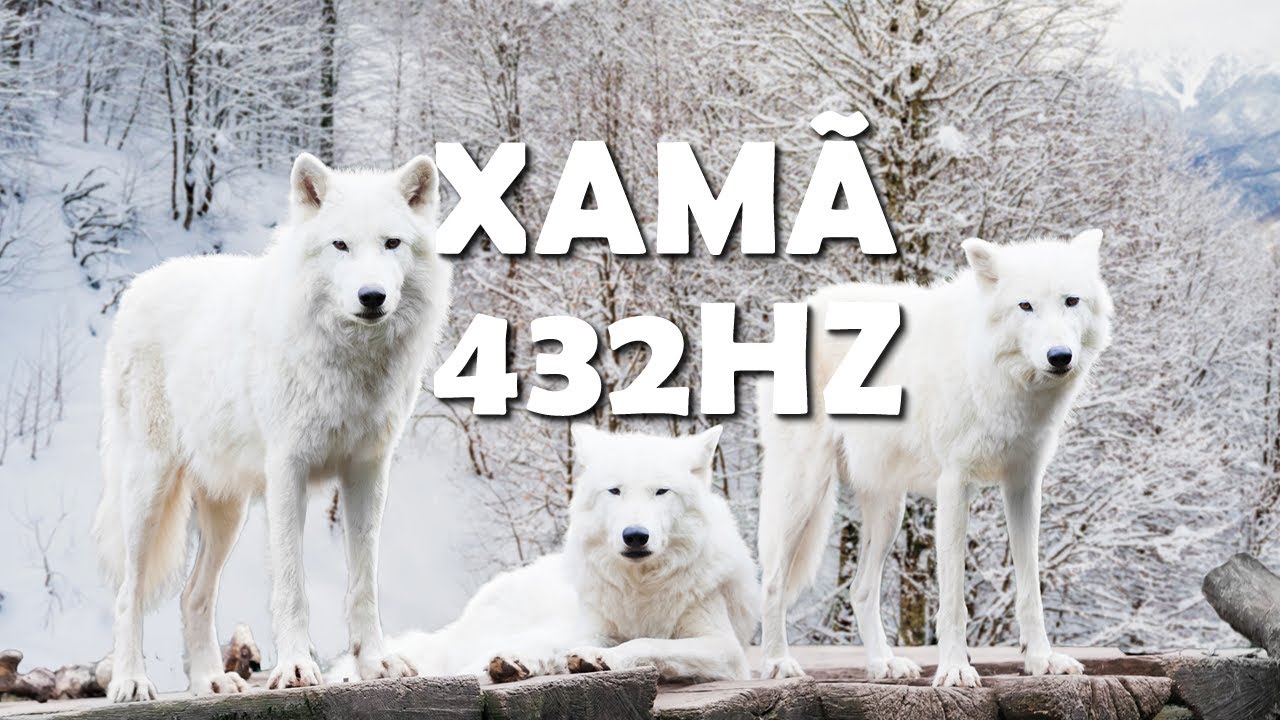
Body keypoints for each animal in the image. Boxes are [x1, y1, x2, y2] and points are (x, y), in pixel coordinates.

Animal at [91, 153, 452, 702]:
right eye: (340, 245)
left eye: (392, 243)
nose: (372, 296)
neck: (350, 363)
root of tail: (139, 285)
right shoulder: (288, 471)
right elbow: (291, 583)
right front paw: (297, 668)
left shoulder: (368, 472)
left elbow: (364, 584)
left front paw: (375, 663)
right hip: (148, 491)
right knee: (126, 592)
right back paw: (131, 682)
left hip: (227, 511)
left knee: (192, 595)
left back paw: (211, 681)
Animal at [329, 425, 758, 685]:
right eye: (615, 491)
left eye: (661, 492)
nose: (635, 536)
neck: (642, 589)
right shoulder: (595, 625)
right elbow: (610, 643)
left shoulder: (724, 648)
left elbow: (648, 645)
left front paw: (599, 658)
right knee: (480, 660)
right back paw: (507, 664)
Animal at [757, 231, 1111, 687]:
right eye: (1025, 306)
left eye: (1071, 301)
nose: (1060, 356)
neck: (998, 379)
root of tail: (807, 303)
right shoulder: (954, 485)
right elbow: (953, 599)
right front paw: (956, 669)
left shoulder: (1023, 486)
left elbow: (1030, 589)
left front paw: (1042, 660)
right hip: (805, 491)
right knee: (772, 581)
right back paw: (778, 663)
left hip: (888, 510)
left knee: (860, 589)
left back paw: (884, 665)